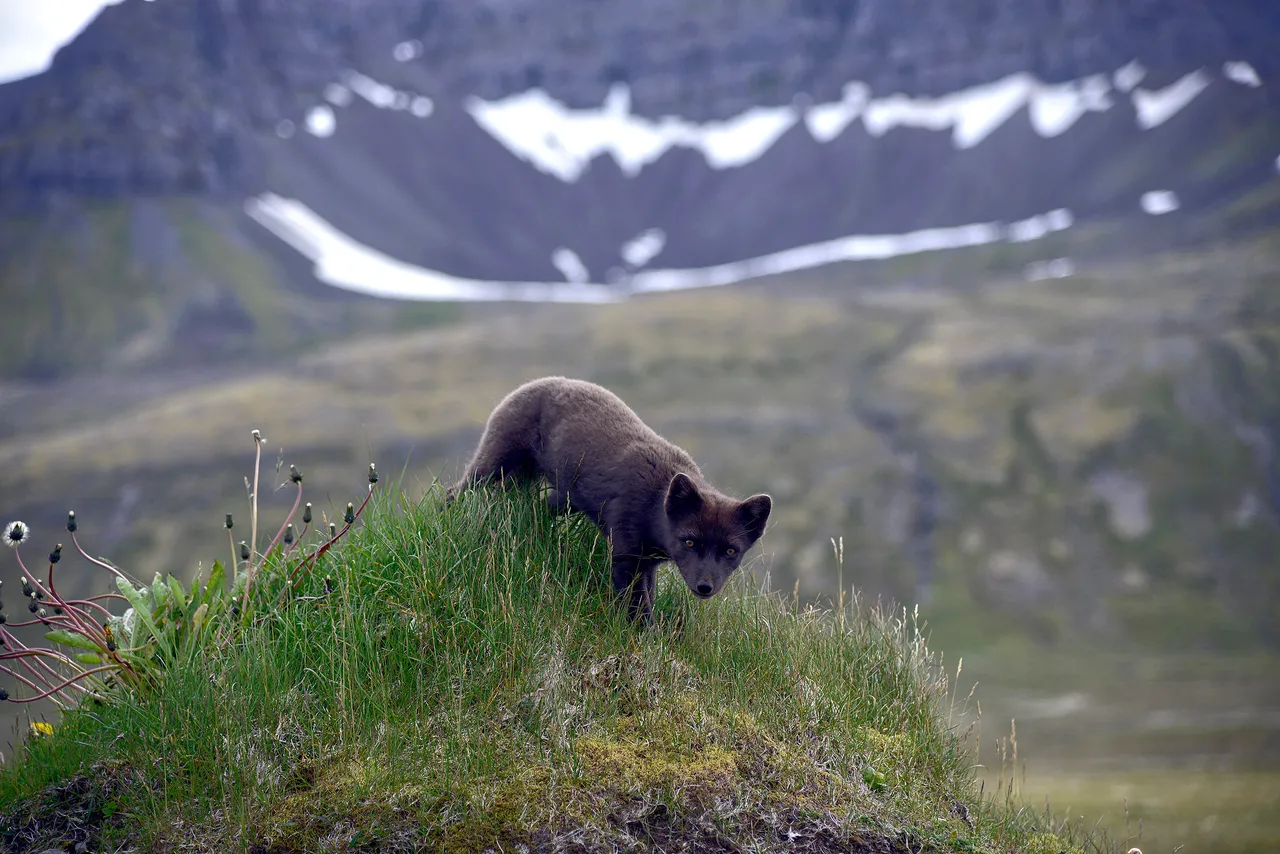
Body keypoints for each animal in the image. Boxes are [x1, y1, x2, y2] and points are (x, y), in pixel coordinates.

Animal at [450, 376, 768, 624]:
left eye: (731, 551)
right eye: (689, 542)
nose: (705, 587)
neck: (655, 503)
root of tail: (532, 383)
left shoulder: (647, 563)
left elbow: (649, 596)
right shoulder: (626, 556)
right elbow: (638, 608)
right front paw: (648, 642)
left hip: (563, 498)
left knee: (535, 509)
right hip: (494, 465)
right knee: (456, 491)